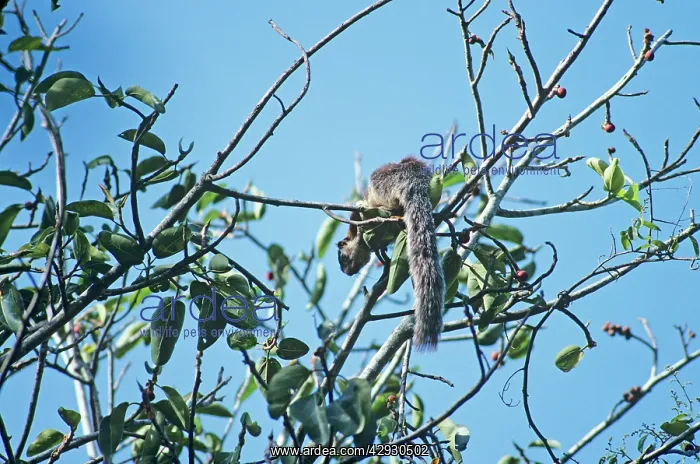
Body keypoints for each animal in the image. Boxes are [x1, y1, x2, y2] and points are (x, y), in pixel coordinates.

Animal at [336, 156, 446, 351]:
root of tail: (412, 180)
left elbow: (358, 218)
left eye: (343, 258)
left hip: (382, 188)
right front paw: (383, 256)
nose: (347, 272)